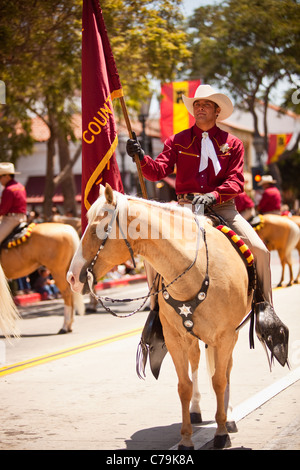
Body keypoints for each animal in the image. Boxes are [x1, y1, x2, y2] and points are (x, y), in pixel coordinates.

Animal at [67, 185, 254, 450]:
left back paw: (228, 417)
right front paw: (186, 438)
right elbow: (184, 386)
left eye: (95, 230)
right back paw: (196, 410)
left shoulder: (226, 336)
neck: (196, 270)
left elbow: (219, 380)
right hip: (192, 338)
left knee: (225, 370)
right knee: (196, 362)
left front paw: (221, 432)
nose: (71, 277)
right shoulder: (175, 338)